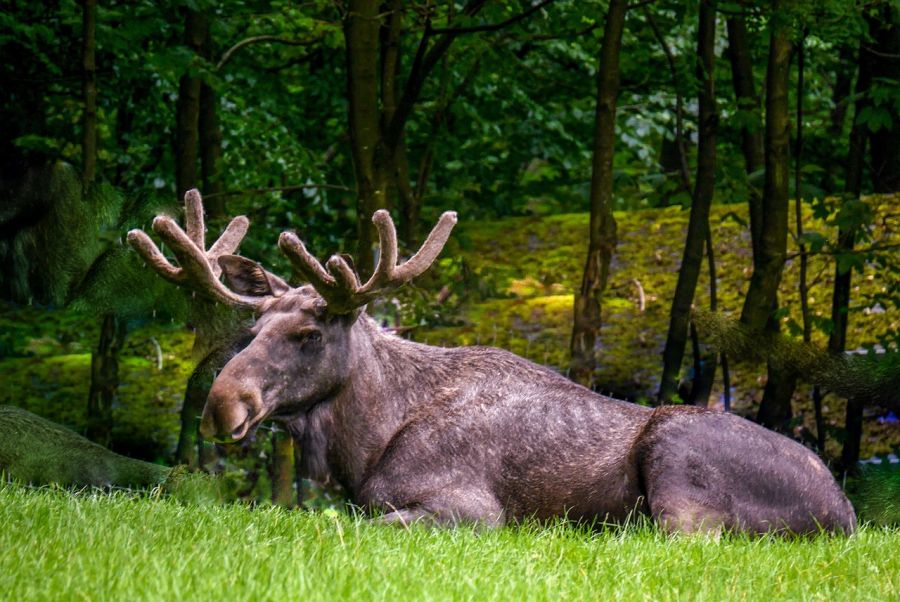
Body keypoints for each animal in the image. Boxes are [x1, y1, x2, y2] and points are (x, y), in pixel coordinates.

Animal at [125, 190, 852, 532]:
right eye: (254, 326)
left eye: (307, 333)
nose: (222, 405)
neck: (365, 441)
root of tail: (844, 516)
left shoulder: (471, 511)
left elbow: (351, 523)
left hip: (676, 465)